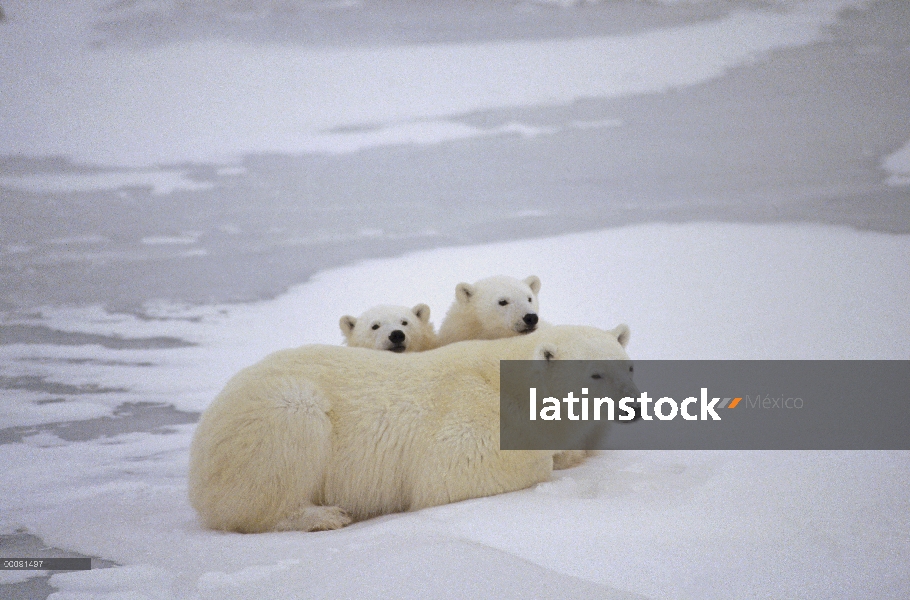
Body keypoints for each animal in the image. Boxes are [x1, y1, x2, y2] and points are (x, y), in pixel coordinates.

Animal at [189, 326, 636, 532]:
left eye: (629, 366)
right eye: (595, 373)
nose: (631, 405)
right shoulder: (466, 414)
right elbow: (454, 473)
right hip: (275, 413)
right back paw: (323, 515)